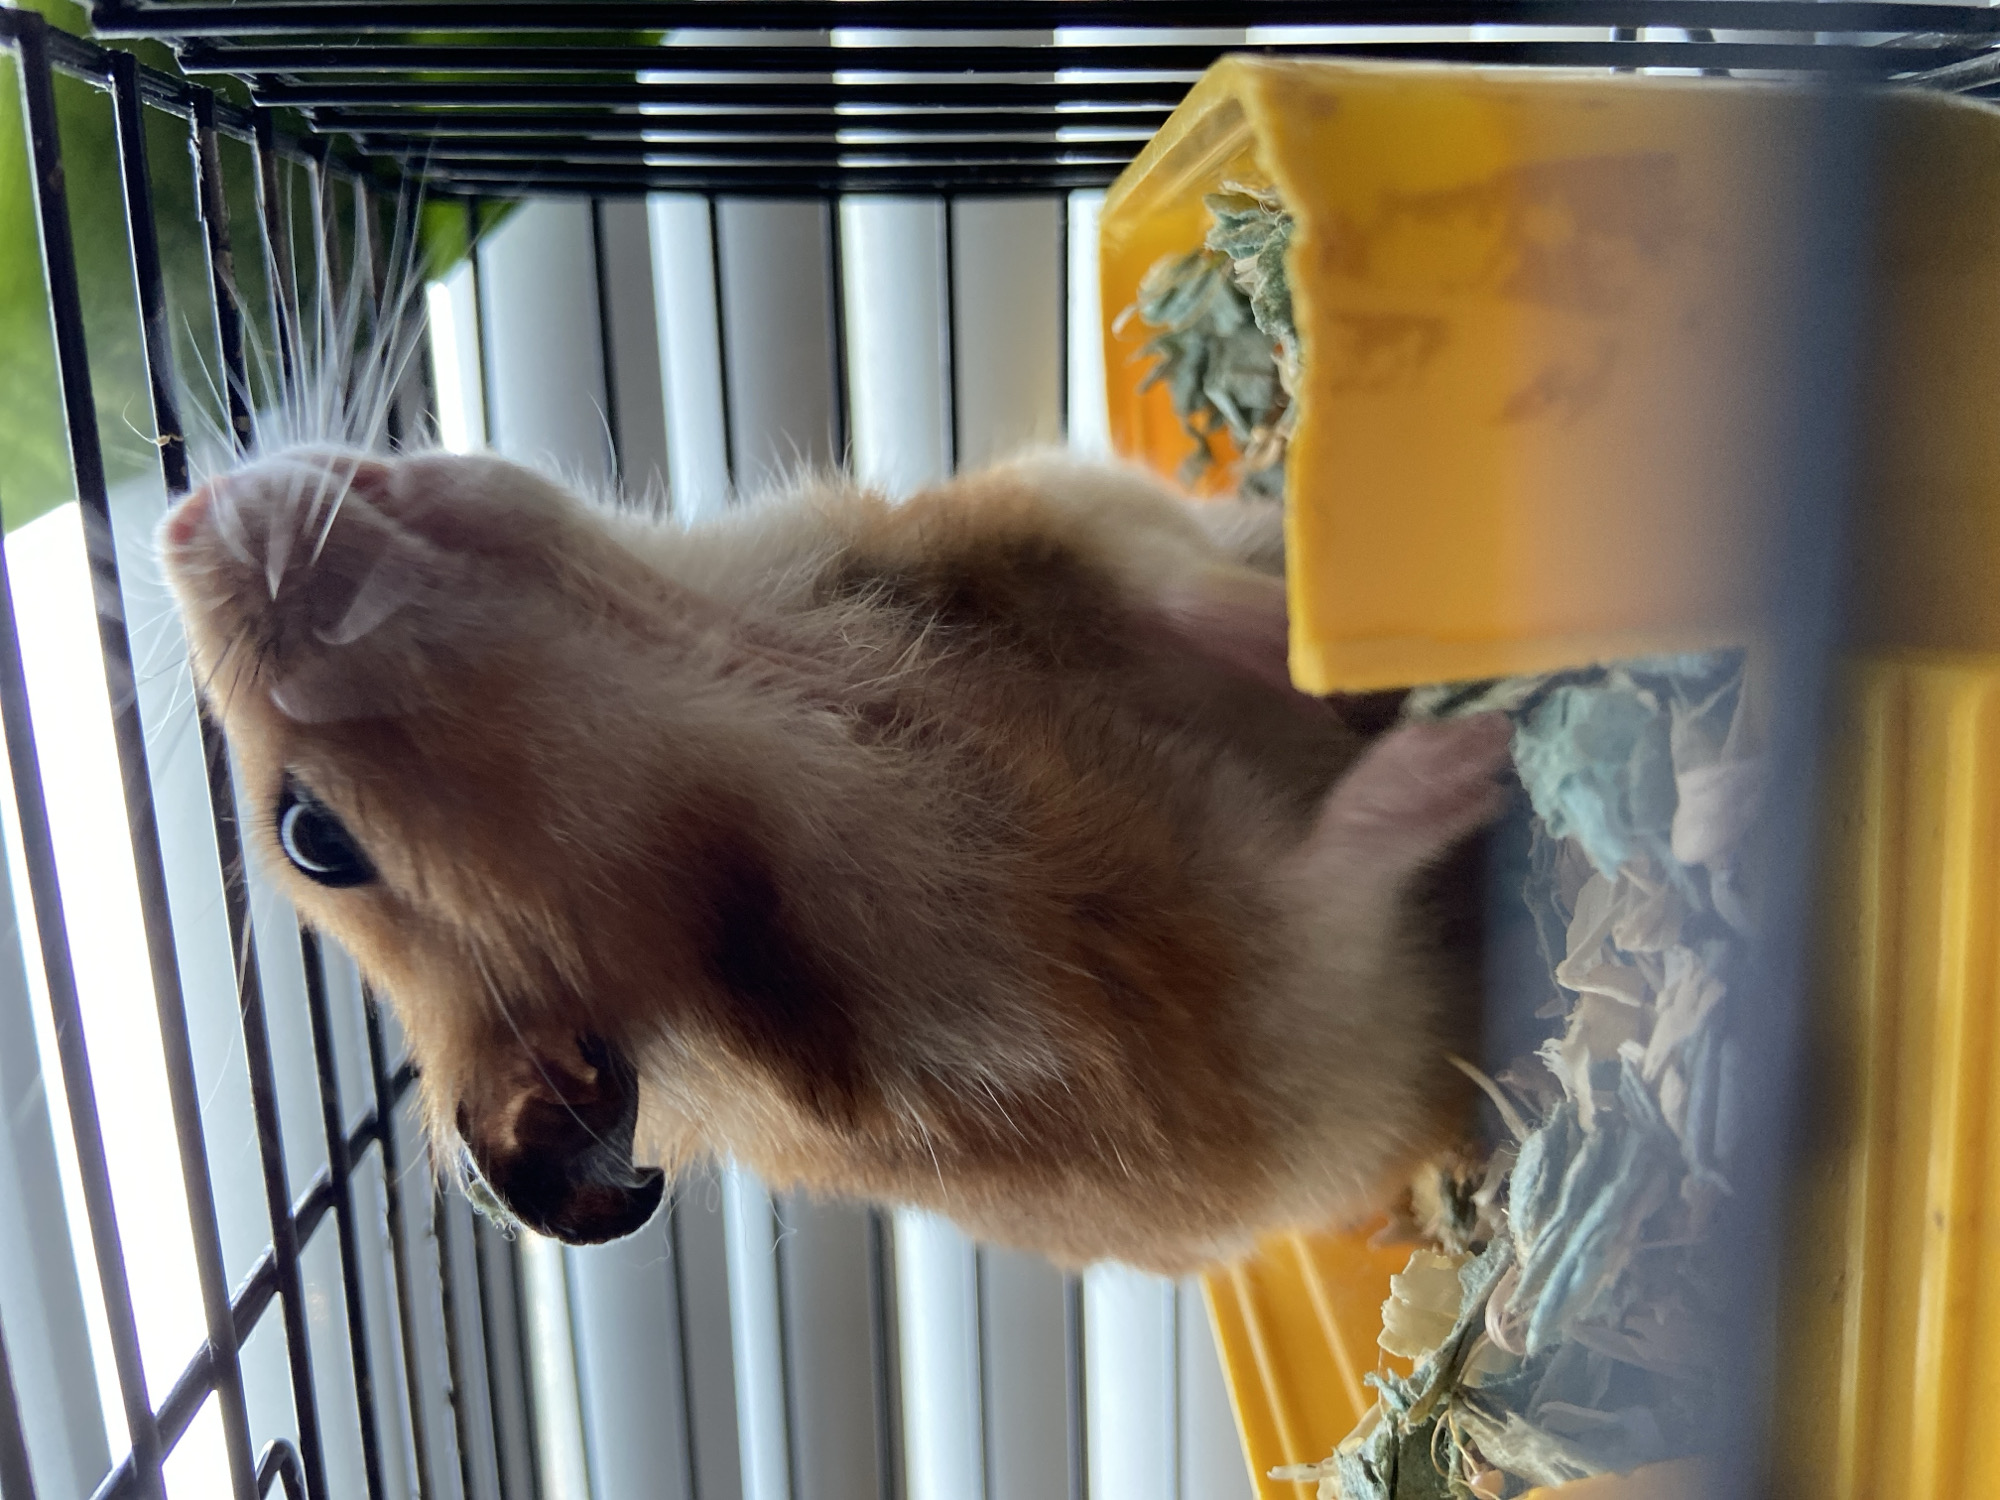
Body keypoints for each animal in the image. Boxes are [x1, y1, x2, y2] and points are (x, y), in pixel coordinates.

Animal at [158, 445, 1510, 1273]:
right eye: (313, 839)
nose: (181, 512)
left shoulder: (1065, 521)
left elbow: (1187, 600)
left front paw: (1329, 639)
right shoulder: (1254, 1029)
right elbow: (1328, 879)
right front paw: (1470, 737)